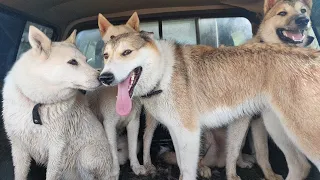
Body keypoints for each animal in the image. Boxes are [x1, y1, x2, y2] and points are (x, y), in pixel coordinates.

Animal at [1, 26, 113, 179]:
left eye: (85, 60)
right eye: (73, 62)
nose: (102, 78)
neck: (36, 104)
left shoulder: (57, 149)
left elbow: (51, 175)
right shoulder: (19, 148)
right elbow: (20, 175)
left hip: (86, 157)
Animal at [99, 31, 320, 180]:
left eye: (127, 52)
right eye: (106, 56)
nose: (104, 77)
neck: (163, 75)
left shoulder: (189, 132)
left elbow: (187, 171)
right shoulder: (177, 132)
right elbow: (181, 165)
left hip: (302, 135)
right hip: (277, 128)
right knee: (300, 166)